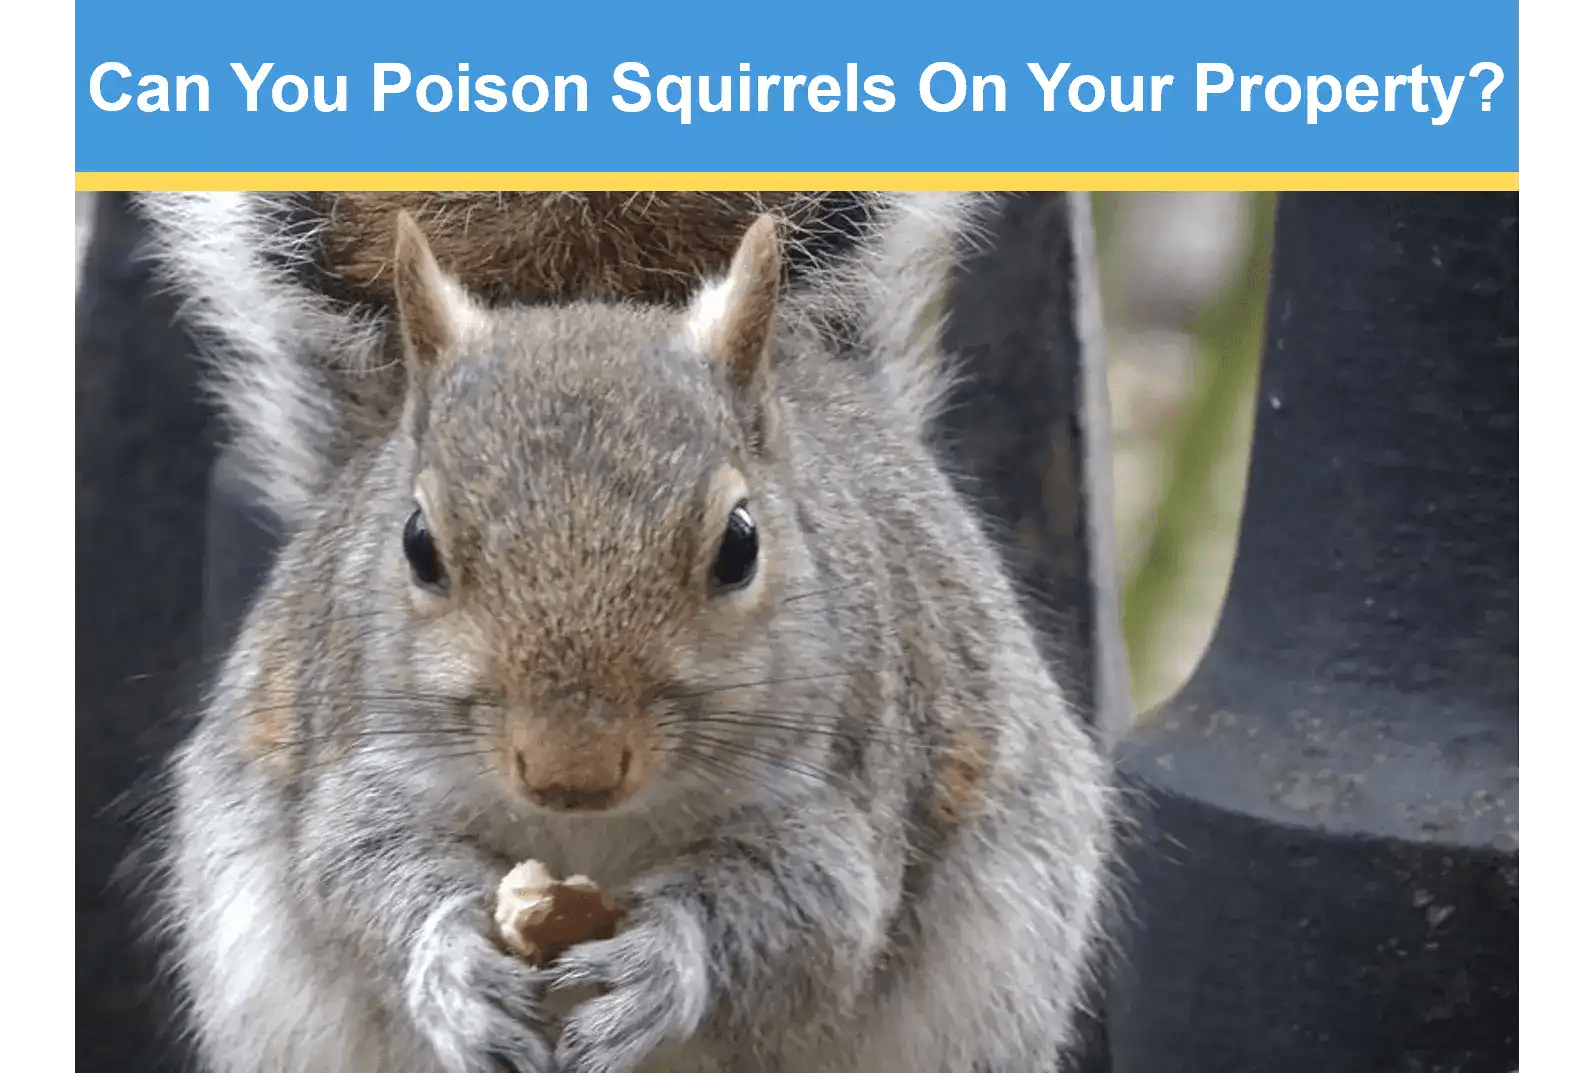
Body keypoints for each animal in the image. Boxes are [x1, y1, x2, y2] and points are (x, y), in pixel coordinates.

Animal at [131, 191, 1118, 1073]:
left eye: (739, 545)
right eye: (418, 543)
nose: (571, 770)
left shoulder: (841, 792)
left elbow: (814, 927)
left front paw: (664, 964)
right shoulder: (365, 760)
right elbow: (355, 875)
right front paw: (450, 966)